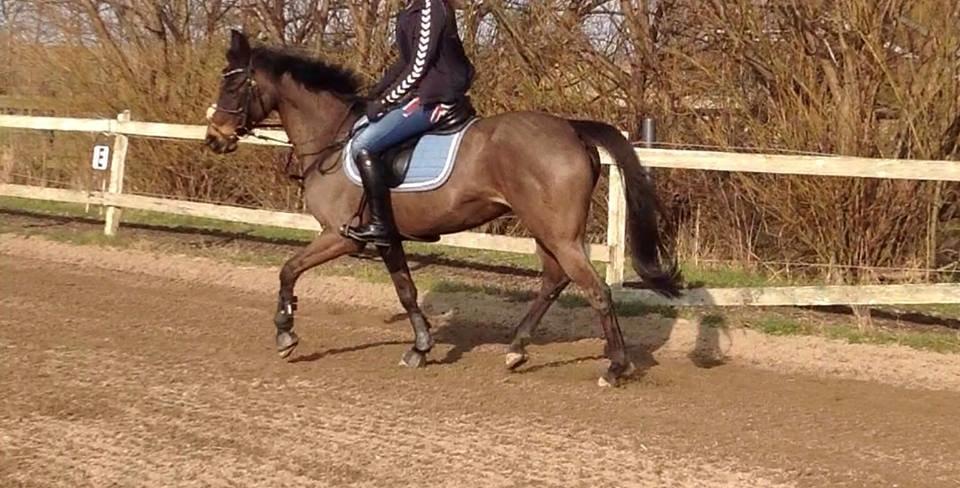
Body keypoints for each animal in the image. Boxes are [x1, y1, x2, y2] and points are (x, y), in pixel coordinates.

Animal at [204, 30, 682, 387]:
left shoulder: (340, 236)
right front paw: (419, 348)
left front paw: (285, 333)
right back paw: (515, 350)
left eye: (233, 84)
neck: (333, 139)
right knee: (554, 280)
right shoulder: (387, 237)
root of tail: (571, 129)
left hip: (558, 232)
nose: (214, 138)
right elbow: (406, 290)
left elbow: (287, 270)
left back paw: (615, 367)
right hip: (545, 229)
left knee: (594, 290)